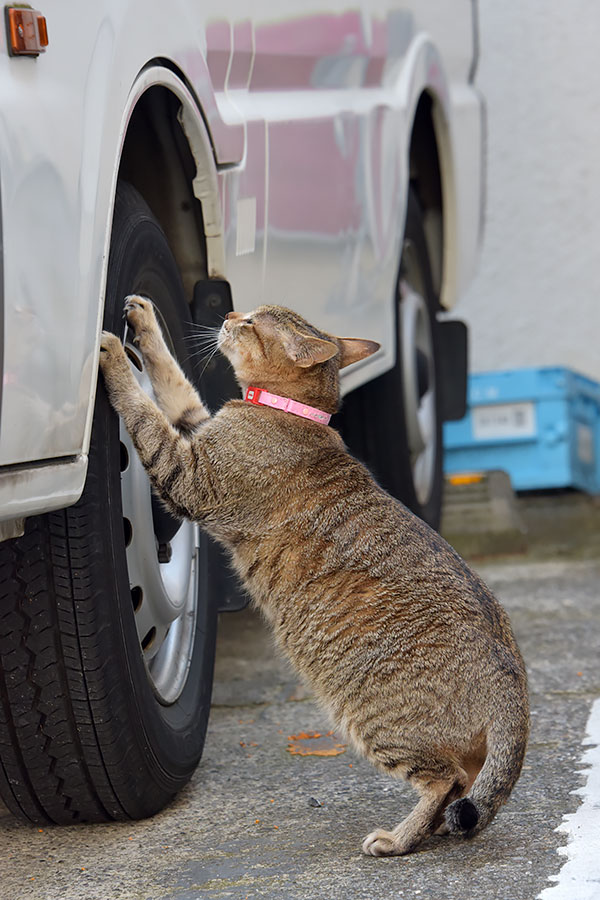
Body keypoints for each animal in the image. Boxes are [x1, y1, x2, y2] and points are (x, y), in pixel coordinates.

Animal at [101, 298, 528, 856]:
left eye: (252, 323)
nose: (231, 313)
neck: (285, 410)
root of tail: (511, 684)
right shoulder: (195, 429)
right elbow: (172, 381)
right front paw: (143, 321)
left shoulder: (189, 476)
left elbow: (143, 411)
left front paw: (112, 357)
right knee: (465, 788)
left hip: (377, 720)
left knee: (447, 781)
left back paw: (398, 838)